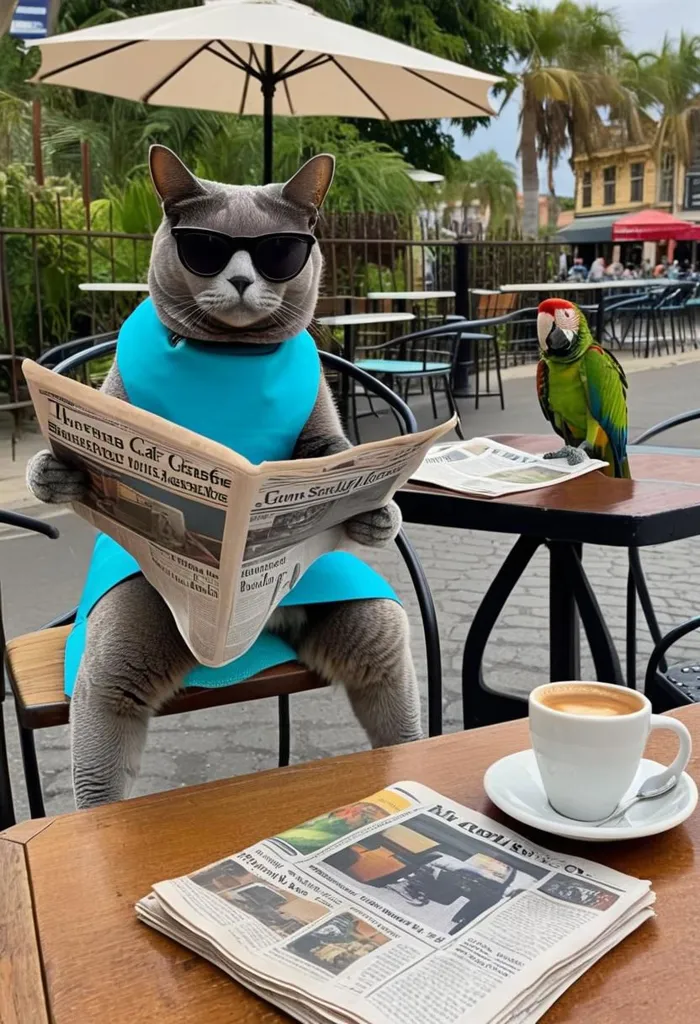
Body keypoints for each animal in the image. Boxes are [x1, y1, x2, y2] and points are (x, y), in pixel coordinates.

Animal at [25, 144, 421, 806]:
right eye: (205, 248)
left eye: (279, 252)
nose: (240, 278)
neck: (230, 357)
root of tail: (257, 630)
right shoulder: (113, 401)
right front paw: (53, 471)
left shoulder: (321, 432)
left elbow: (336, 451)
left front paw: (377, 514)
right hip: (124, 638)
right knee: (102, 727)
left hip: (365, 617)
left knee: (392, 681)